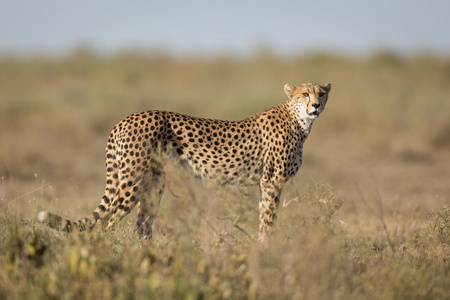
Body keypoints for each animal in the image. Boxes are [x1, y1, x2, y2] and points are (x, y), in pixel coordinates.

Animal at [37, 82, 330, 241]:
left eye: (322, 94)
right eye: (305, 94)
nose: (315, 105)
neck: (299, 120)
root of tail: (125, 118)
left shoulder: (264, 183)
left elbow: (262, 217)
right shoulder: (272, 182)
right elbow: (269, 220)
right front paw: (267, 250)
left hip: (154, 182)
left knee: (142, 224)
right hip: (132, 181)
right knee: (105, 223)